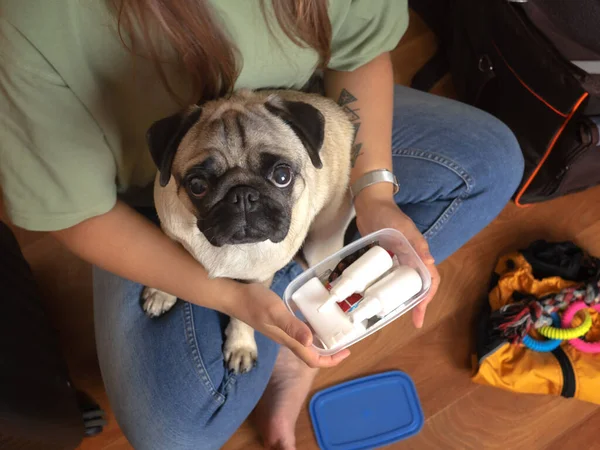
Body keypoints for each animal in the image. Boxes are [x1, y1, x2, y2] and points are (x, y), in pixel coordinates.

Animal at [141, 88, 356, 372]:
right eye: (197, 185)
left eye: (282, 176)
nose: (242, 195)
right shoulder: (170, 234)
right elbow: (170, 267)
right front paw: (160, 292)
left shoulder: (258, 279)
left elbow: (244, 318)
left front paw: (240, 346)